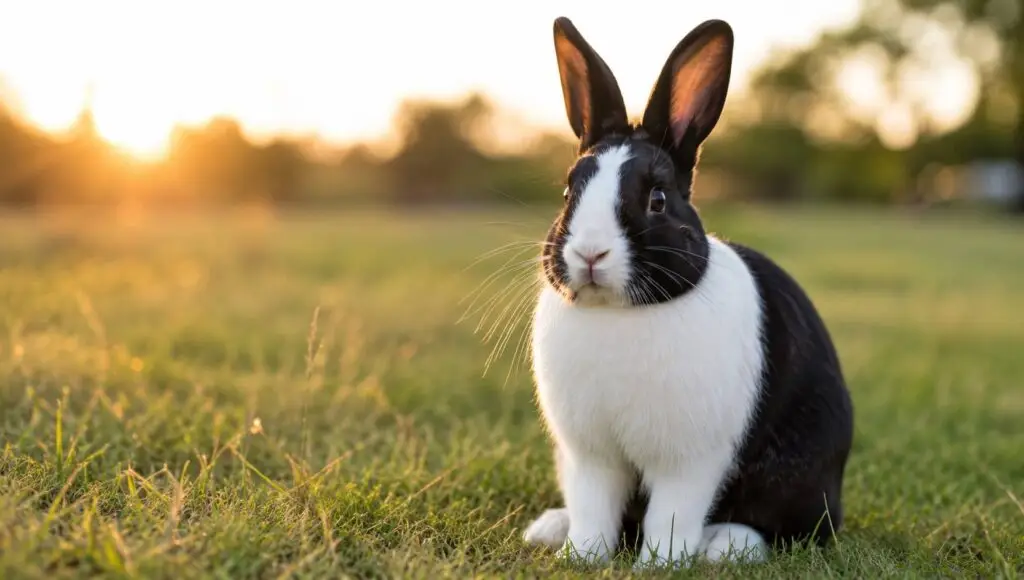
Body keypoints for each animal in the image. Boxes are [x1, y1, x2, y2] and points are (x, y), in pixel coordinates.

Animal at [521, 17, 855, 569]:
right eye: (569, 192)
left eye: (657, 199)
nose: (590, 254)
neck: (621, 313)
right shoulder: (589, 457)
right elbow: (595, 510)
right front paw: (581, 557)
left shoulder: (690, 460)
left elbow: (671, 514)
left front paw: (659, 565)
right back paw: (548, 528)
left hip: (801, 477)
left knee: (795, 528)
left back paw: (726, 545)